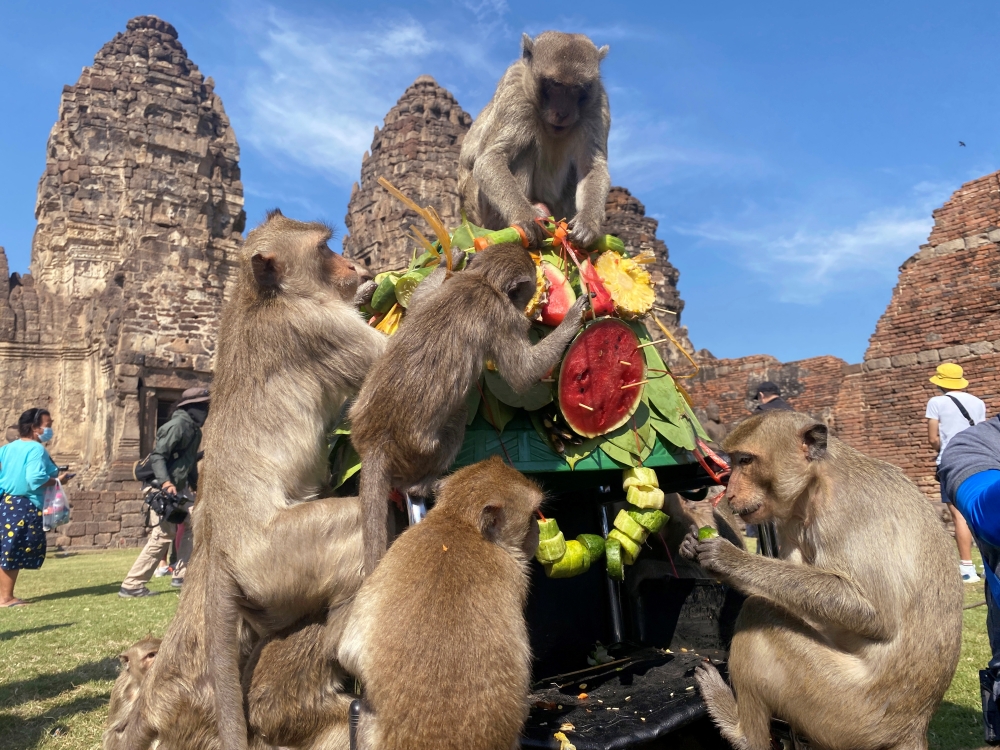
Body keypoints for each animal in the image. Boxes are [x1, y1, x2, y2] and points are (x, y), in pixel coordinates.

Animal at [195, 210, 386, 750]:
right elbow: (388, 355)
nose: (354, 264)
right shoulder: (317, 328)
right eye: (323, 250)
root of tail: (219, 551)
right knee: (352, 528)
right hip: (278, 557)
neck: (265, 296)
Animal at [338, 458, 544, 750]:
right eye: (532, 514)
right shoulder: (514, 571)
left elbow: (349, 651)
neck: (459, 522)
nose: (536, 530)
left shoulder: (402, 544)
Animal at [350, 244, 588, 572]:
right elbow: (522, 374)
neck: (483, 280)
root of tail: (375, 442)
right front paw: (573, 318)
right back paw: (420, 486)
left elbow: (418, 302)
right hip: (420, 451)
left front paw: (449, 258)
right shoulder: (502, 316)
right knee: (458, 417)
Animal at [458, 32, 608, 250]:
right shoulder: (515, 89)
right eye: (555, 84)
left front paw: (589, 223)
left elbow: (591, 167)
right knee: (523, 150)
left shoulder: (597, 101)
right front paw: (526, 217)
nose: (563, 112)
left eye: (577, 88)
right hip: (478, 208)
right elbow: (490, 158)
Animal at [680, 412, 960, 750]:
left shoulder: (846, 509)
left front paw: (729, 559)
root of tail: (914, 726)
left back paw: (742, 733)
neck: (816, 482)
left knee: (757, 610)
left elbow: (875, 613)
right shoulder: (790, 519)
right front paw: (694, 540)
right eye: (732, 462)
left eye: (745, 460)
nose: (729, 492)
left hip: (843, 709)